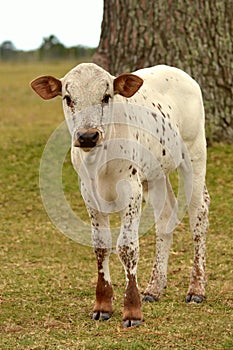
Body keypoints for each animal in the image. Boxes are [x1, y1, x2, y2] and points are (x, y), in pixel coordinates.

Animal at [30, 63, 210, 328]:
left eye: (106, 96)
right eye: (68, 98)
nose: (87, 136)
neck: (100, 161)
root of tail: (179, 72)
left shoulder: (131, 191)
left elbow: (127, 247)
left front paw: (132, 311)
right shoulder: (89, 194)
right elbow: (100, 245)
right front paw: (103, 305)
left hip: (194, 155)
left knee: (198, 215)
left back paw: (196, 289)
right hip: (155, 175)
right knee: (166, 216)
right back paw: (154, 288)